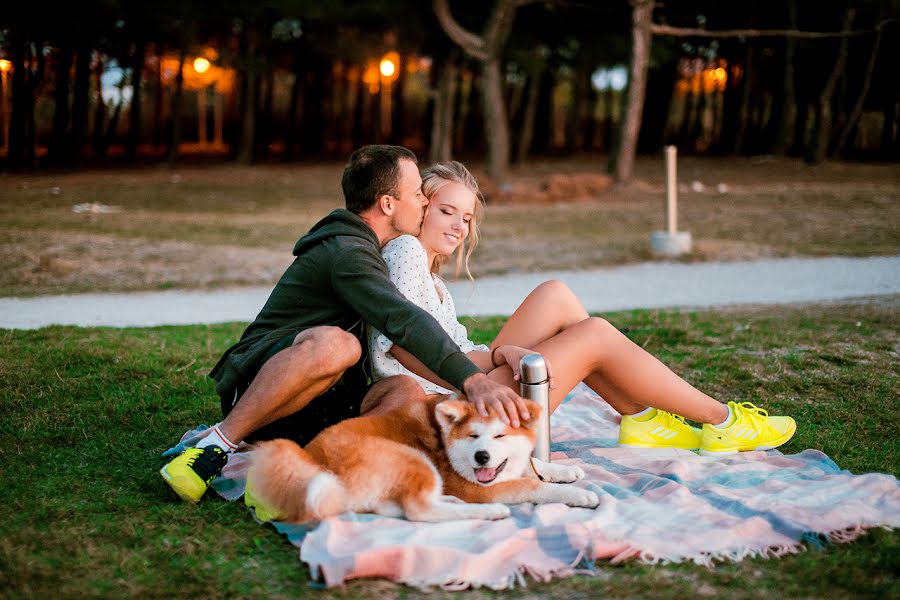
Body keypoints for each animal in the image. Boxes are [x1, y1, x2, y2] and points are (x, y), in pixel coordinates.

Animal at [243, 392, 600, 524]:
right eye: (473, 437)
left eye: (500, 436)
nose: (482, 457)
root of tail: (311, 458)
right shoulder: (479, 487)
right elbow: (534, 487)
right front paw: (579, 494)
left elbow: (532, 466)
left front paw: (564, 471)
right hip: (410, 457)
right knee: (417, 511)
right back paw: (487, 512)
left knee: (392, 507)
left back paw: (453, 502)